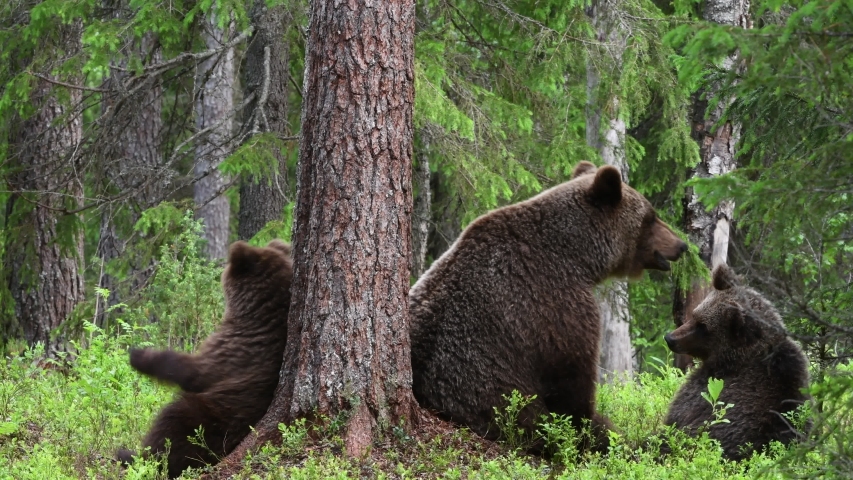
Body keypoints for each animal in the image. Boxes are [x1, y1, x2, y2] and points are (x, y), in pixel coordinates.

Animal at [117, 239, 293, 478]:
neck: (259, 313)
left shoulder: (236, 350)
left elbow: (194, 372)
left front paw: (139, 355)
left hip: (210, 418)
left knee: (172, 423)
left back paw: (131, 456)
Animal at [409, 161, 688, 454]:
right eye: (651, 217)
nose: (681, 245)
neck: (577, 258)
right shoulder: (554, 305)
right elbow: (571, 382)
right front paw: (592, 427)